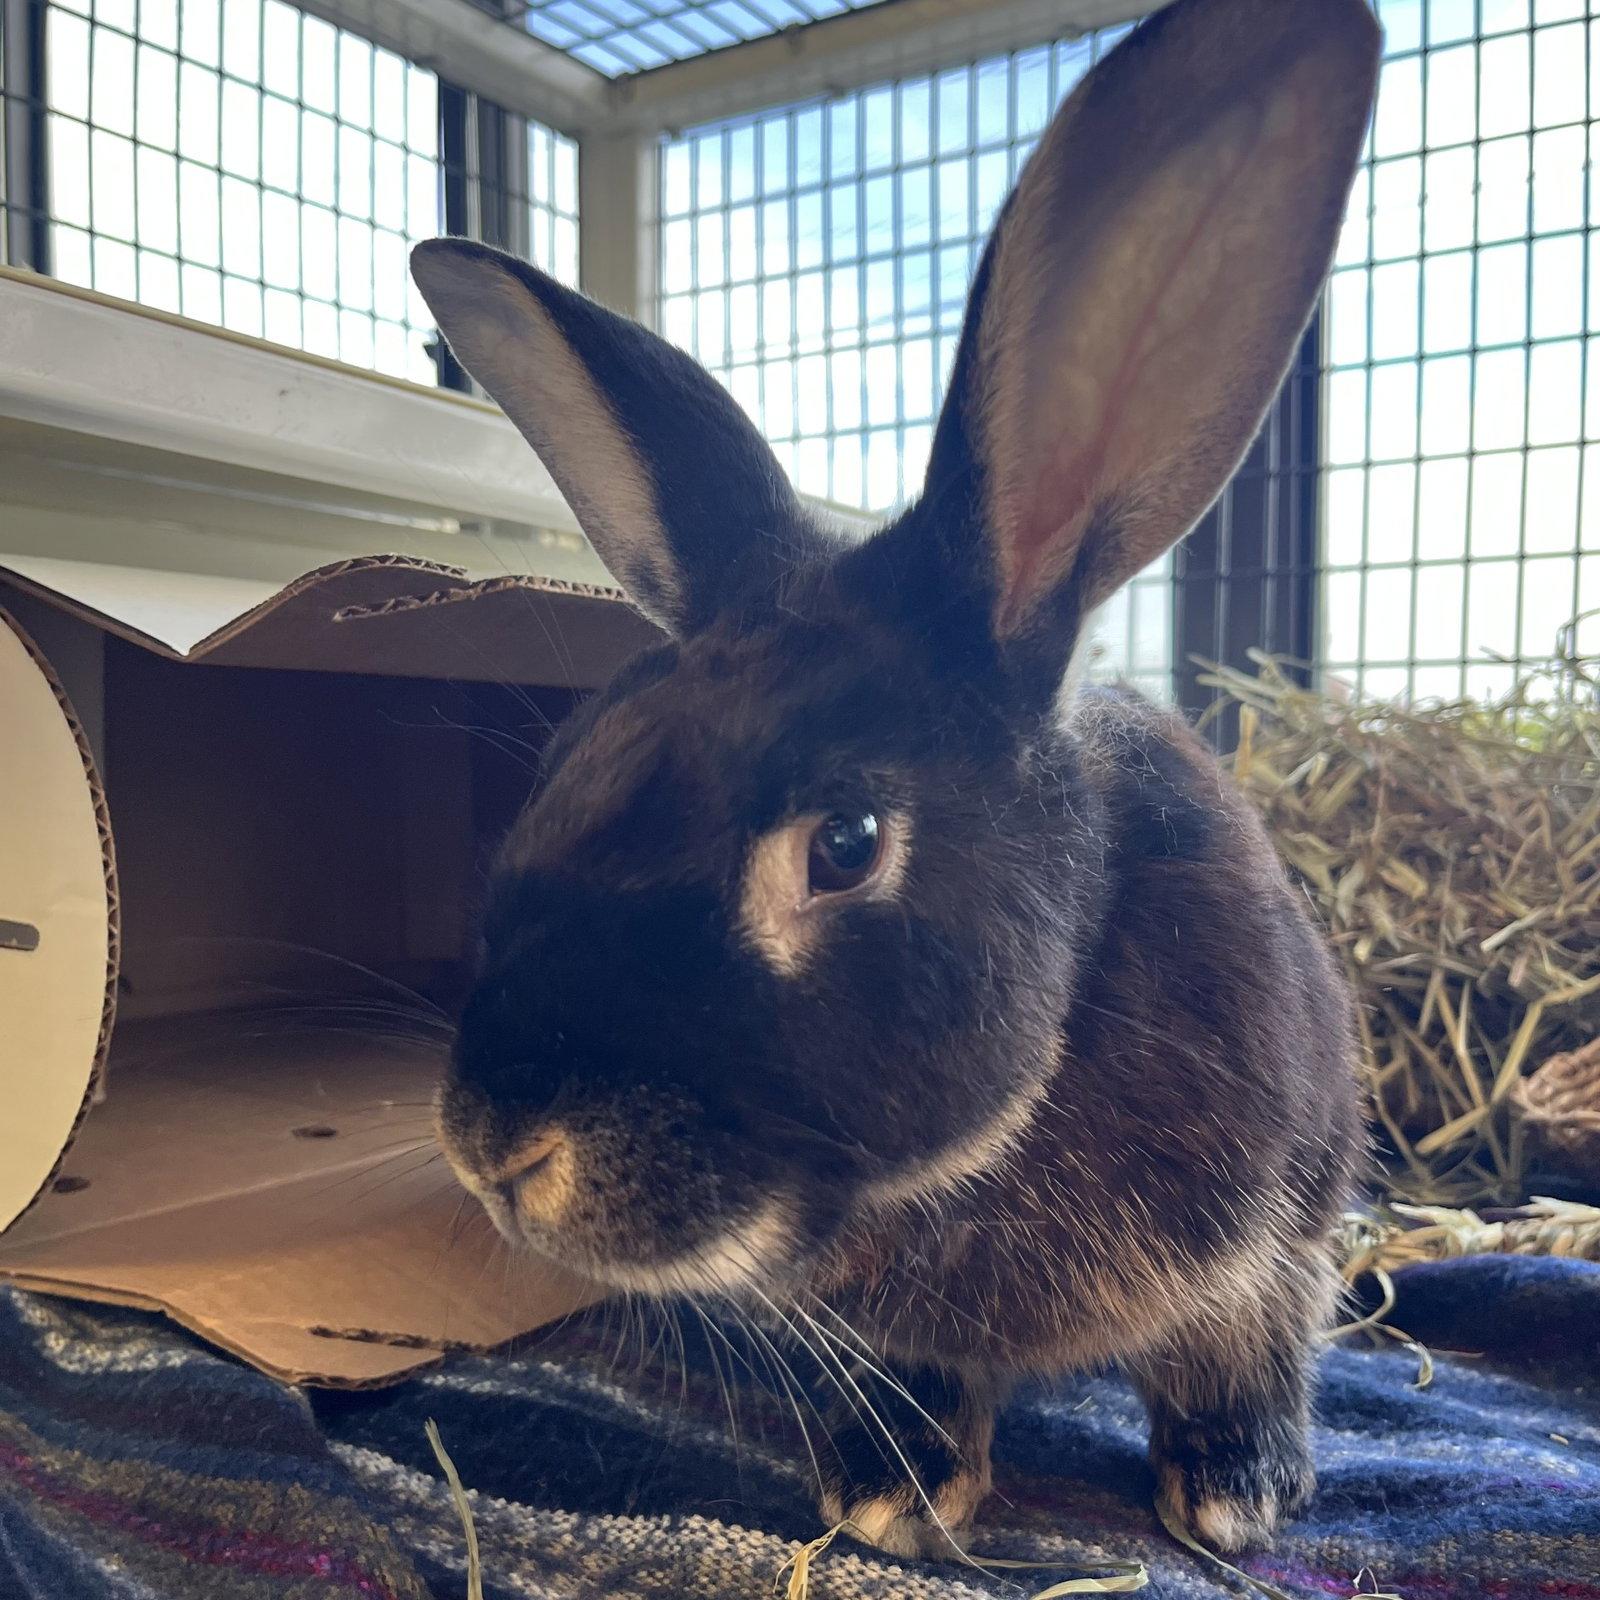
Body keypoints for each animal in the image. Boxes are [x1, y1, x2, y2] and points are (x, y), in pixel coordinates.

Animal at [410, 0, 1380, 1561]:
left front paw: (1237, 1495)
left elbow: (1245, 1345)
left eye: (847, 842)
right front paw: (890, 1488)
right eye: (564, 765)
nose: (494, 1145)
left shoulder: (1273, 1235)